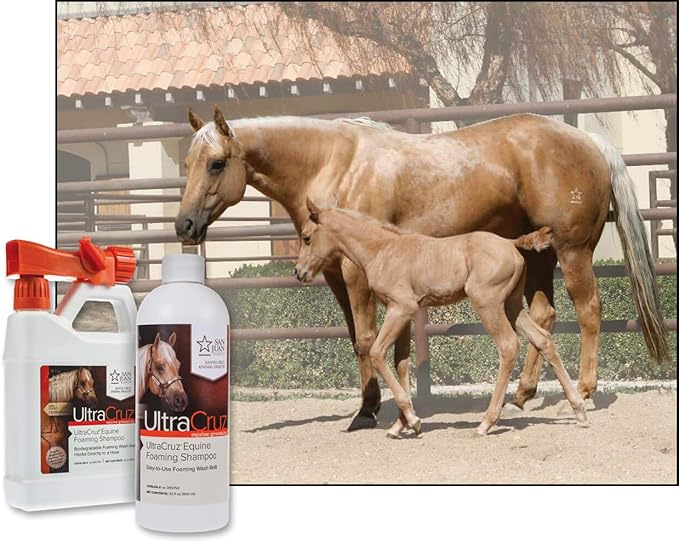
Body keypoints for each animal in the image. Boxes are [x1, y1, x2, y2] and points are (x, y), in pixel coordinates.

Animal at [295, 200, 588, 436]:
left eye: (307, 237)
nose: (299, 272)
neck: (383, 250)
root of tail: (510, 242)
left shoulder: (400, 308)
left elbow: (378, 353)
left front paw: (413, 421)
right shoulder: (403, 312)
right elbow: (402, 363)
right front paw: (401, 425)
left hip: (489, 303)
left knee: (508, 345)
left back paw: (487, 422)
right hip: (512, 305)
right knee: (543, 339)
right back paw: (579, 411)